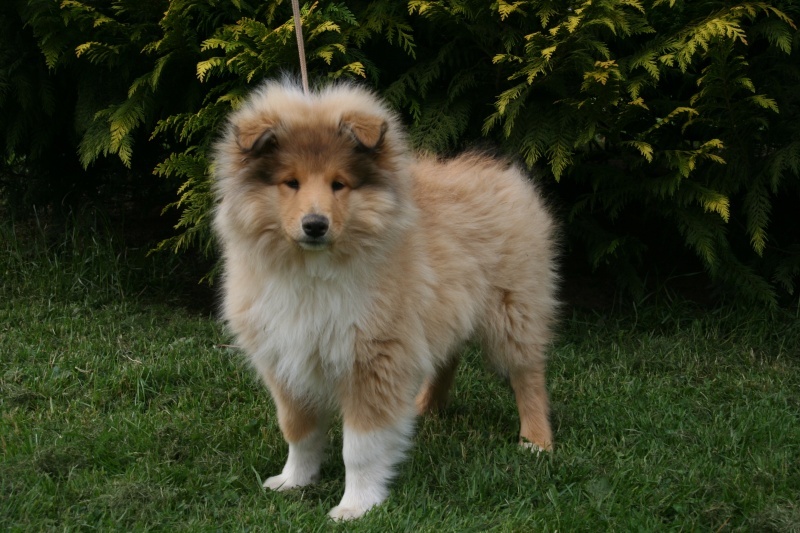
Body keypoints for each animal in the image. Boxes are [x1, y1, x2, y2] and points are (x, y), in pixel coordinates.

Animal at [211, 80, 556, 520]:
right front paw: (294, 481)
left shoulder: (372, 360)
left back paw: (536, 441)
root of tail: (501, 171)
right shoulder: (286, 359)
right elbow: (298, 430)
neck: (314, 271)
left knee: (528, 375)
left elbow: (359, 447)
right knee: (446, 359)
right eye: (291, 182)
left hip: (513, 309)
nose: (315, 225)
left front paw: (356, 505)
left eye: (339, 184)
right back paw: (425, 407)